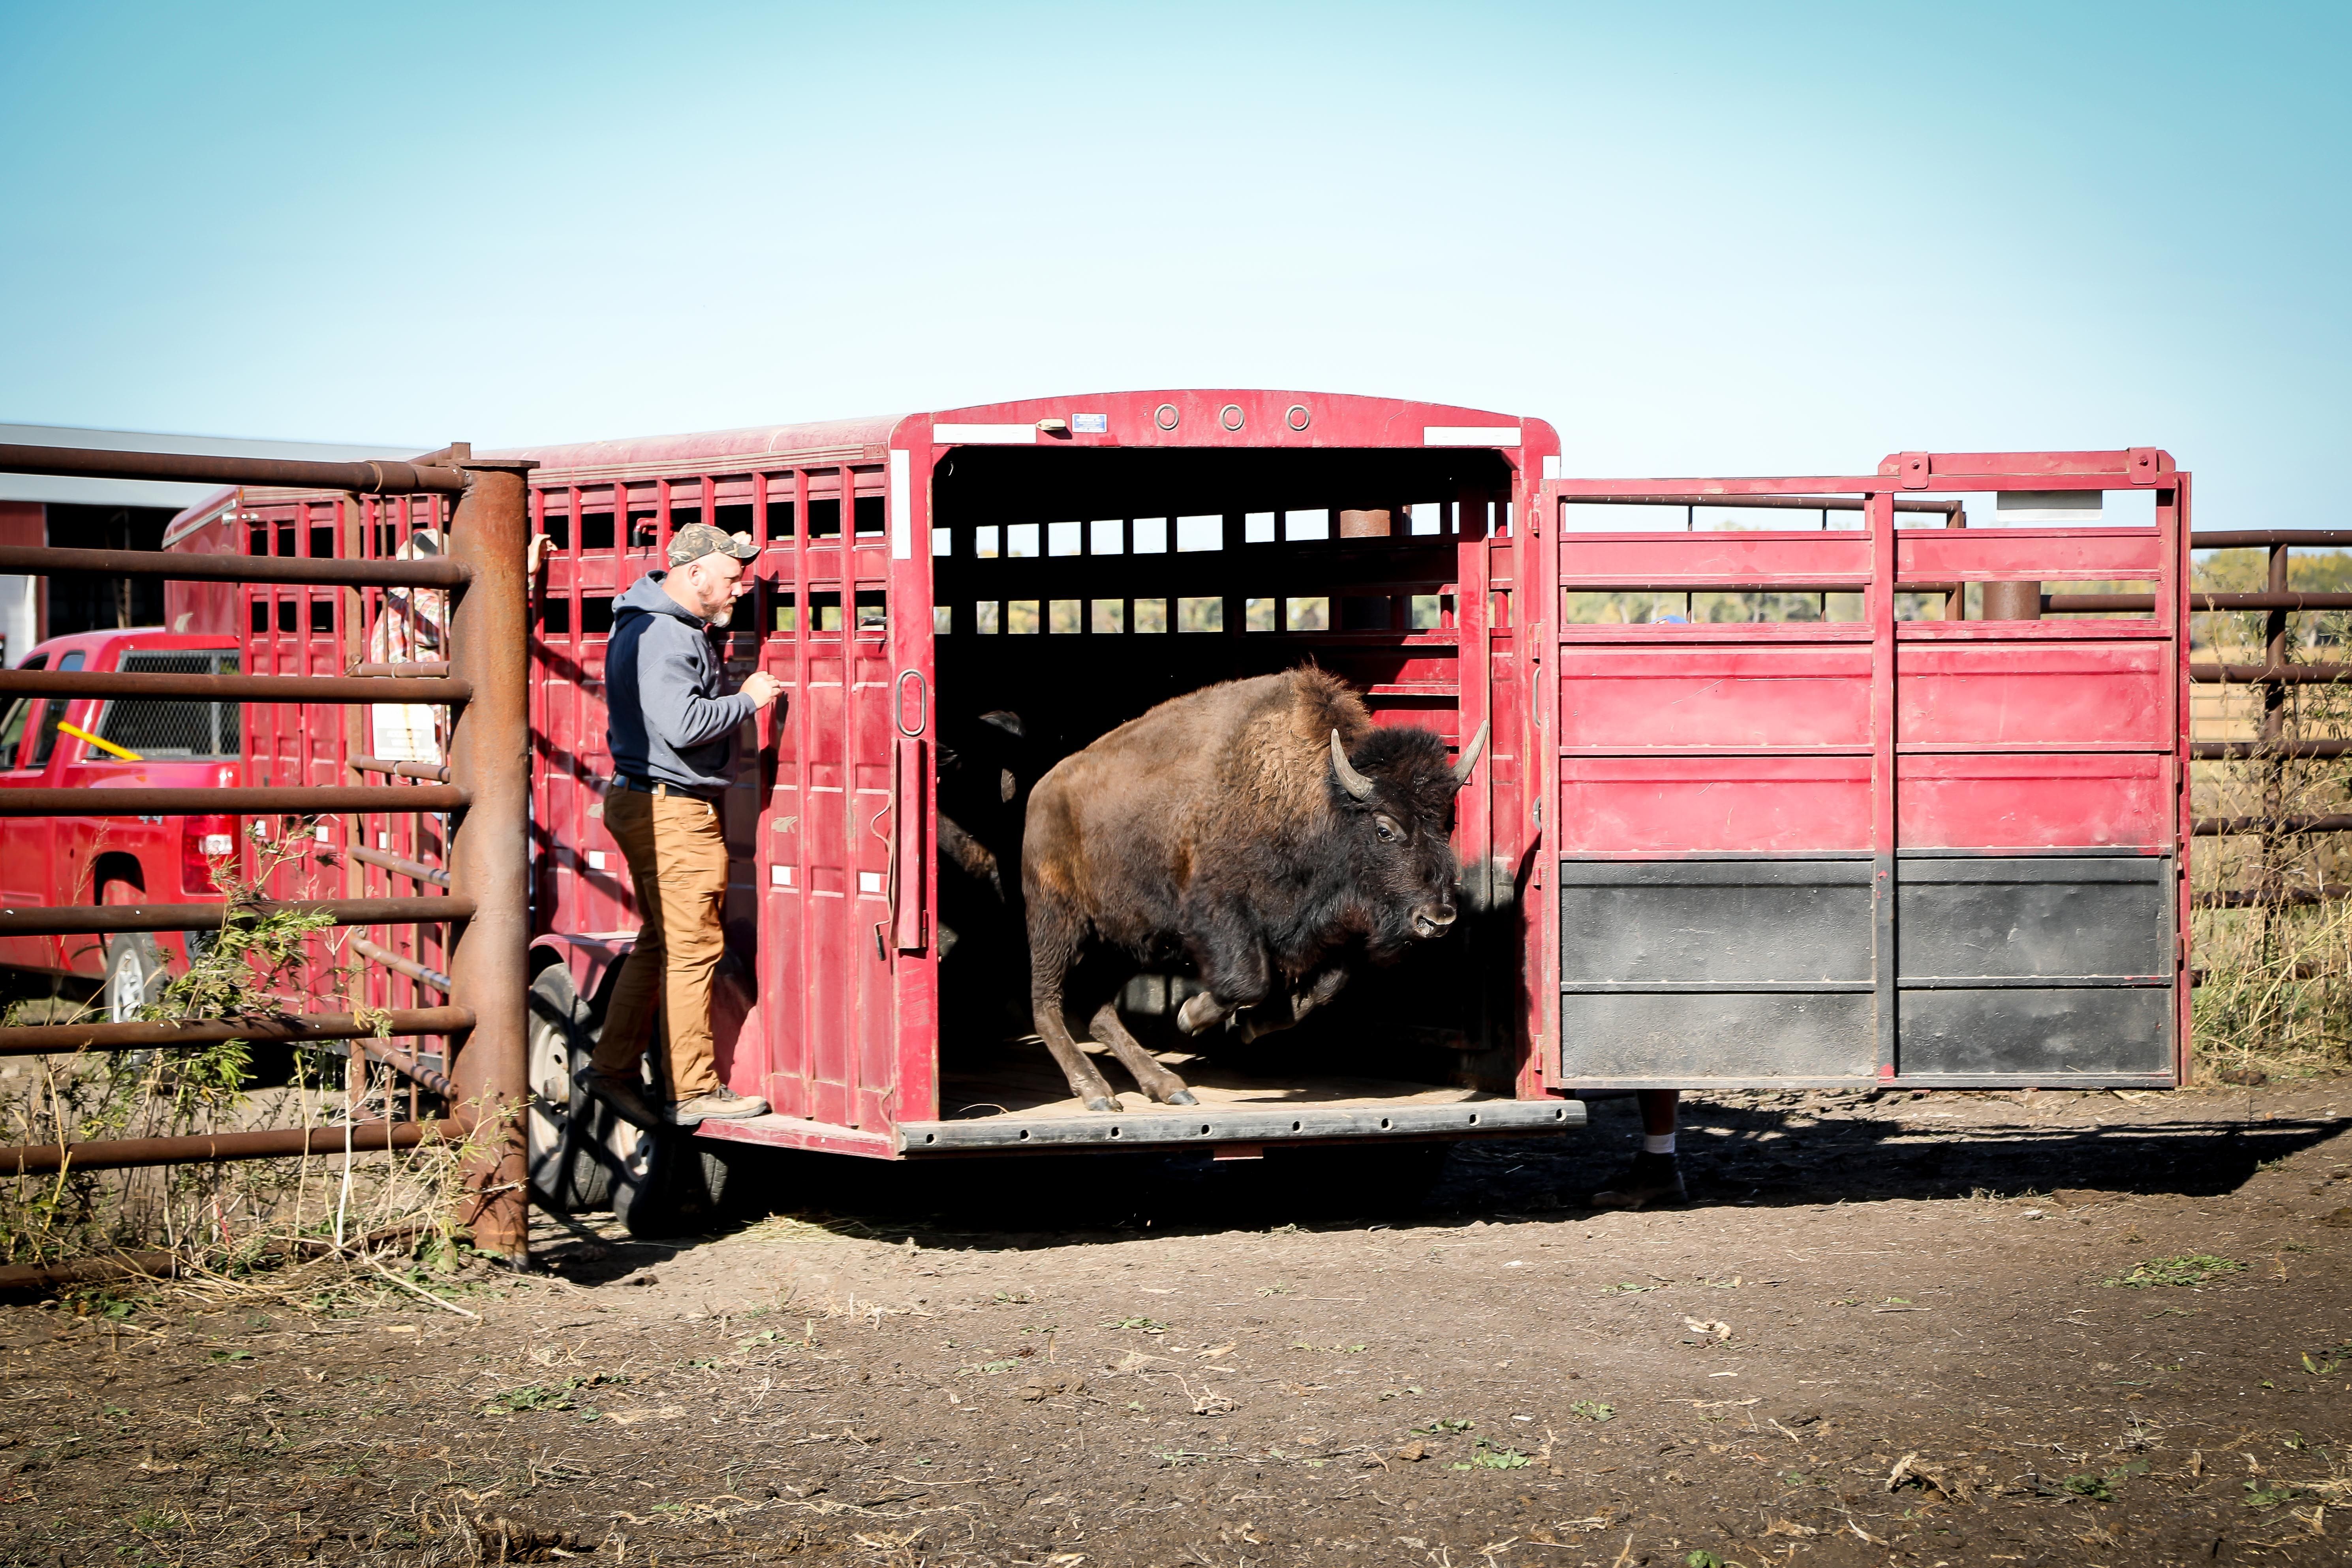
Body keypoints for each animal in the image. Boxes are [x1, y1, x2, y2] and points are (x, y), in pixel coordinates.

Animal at [1016, 667, 1486, 1110]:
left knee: (1096, 1007)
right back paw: (1096, 1092)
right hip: (1057, 923)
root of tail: (1041, 791)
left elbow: (1324, 988)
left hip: (1127, 939)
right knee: (1047, 1003)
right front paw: (1191, 1016)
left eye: (1446, 822)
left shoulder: (1322, 933)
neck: (1316, 800)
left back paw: (1167, 1087)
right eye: (1385, 828)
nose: (1438, 917)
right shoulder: (1220, 916)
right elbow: (1248, 981)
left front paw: (1248, 1026)